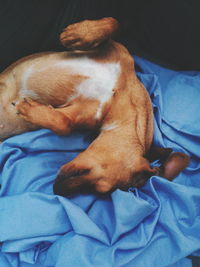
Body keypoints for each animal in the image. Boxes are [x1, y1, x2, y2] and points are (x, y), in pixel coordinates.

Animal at [0, 17, 189, 197]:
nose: (57, 190)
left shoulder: (80, 112)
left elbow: (64, 124)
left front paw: (31, 110)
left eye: (100, 191)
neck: (117, 94)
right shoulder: (116, 49)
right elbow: (113, 23)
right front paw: (77, 34)